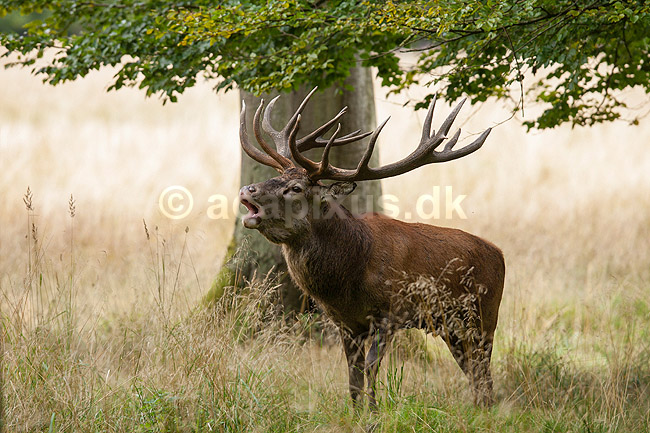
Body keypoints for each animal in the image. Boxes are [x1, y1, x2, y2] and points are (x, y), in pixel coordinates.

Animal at [237, 87, 505, 408]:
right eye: (275, 176)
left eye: (296, 189)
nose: (247, 189)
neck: (349, 276)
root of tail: (500, 254)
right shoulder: (345, 321)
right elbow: (353, 374)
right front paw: (356, 411)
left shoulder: (390, 312)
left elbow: (371, 368)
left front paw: (375, 411)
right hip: (449, 325)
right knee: (473, 369)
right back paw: (479, 407)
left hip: (484, 313)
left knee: (483, 367)